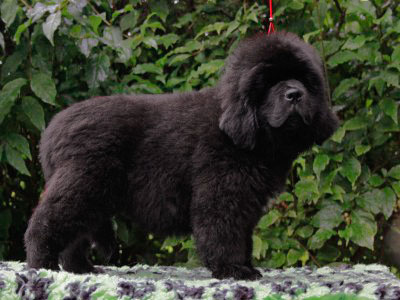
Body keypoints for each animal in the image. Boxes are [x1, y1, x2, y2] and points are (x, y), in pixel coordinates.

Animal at [24, 31, 338, 280]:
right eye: (269, 82)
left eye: (304, 79)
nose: (295, 94)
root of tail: (52, 130)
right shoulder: (221, 193)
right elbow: (224, 233)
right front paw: (234, 270)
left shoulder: (246, 200)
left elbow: (243, 237)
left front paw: (245, 266)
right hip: (83, 185)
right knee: (45, 225)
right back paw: (43, 266)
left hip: (92, 195)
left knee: (74, 235)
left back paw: (80, 269)